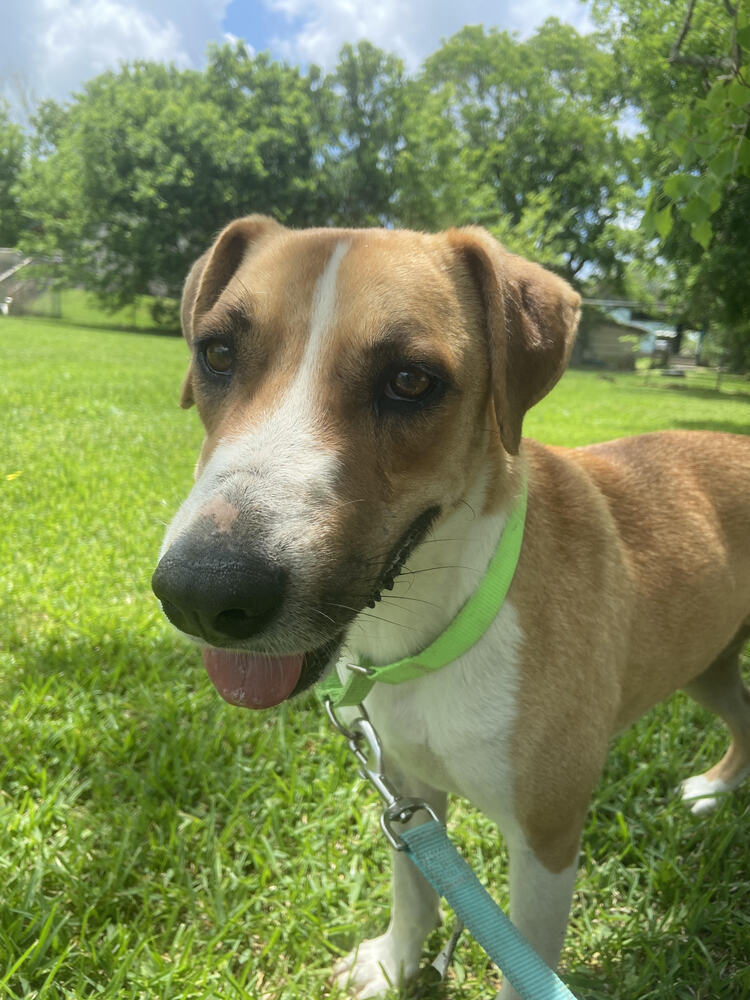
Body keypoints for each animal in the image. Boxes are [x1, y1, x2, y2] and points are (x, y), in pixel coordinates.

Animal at [153, 215, 750, 996]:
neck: (437, 626)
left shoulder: (545, 839)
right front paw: (396, 963)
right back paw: (715, 789)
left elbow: (524, 969)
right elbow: (414, 890)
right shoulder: (408, 792)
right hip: (710, 664)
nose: (202, 590)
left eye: (410, 380)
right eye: (217, 353)